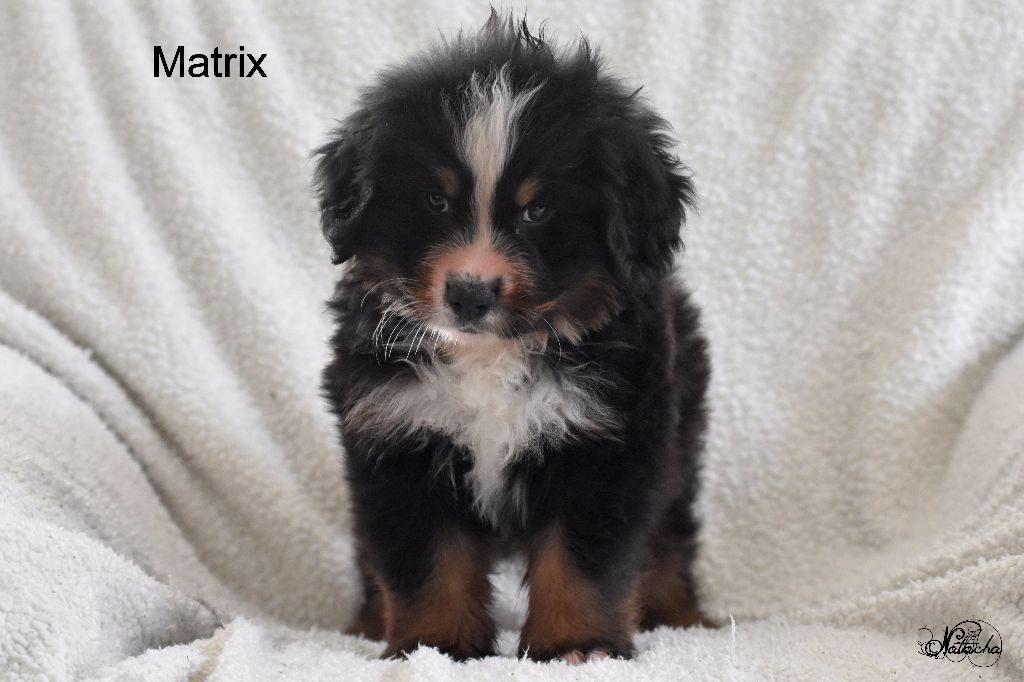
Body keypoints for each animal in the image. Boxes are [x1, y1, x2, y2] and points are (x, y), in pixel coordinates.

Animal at [315, 11, 708, 663]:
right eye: (435, 200)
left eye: (537, 211)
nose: (470, 294)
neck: (488, 358)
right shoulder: (395, 438)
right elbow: (426, 560)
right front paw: (434, 644)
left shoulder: (607, 444)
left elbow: (582, 562)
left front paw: (578, 644)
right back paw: (368, 622)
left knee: (671, 537)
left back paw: (682, 616)